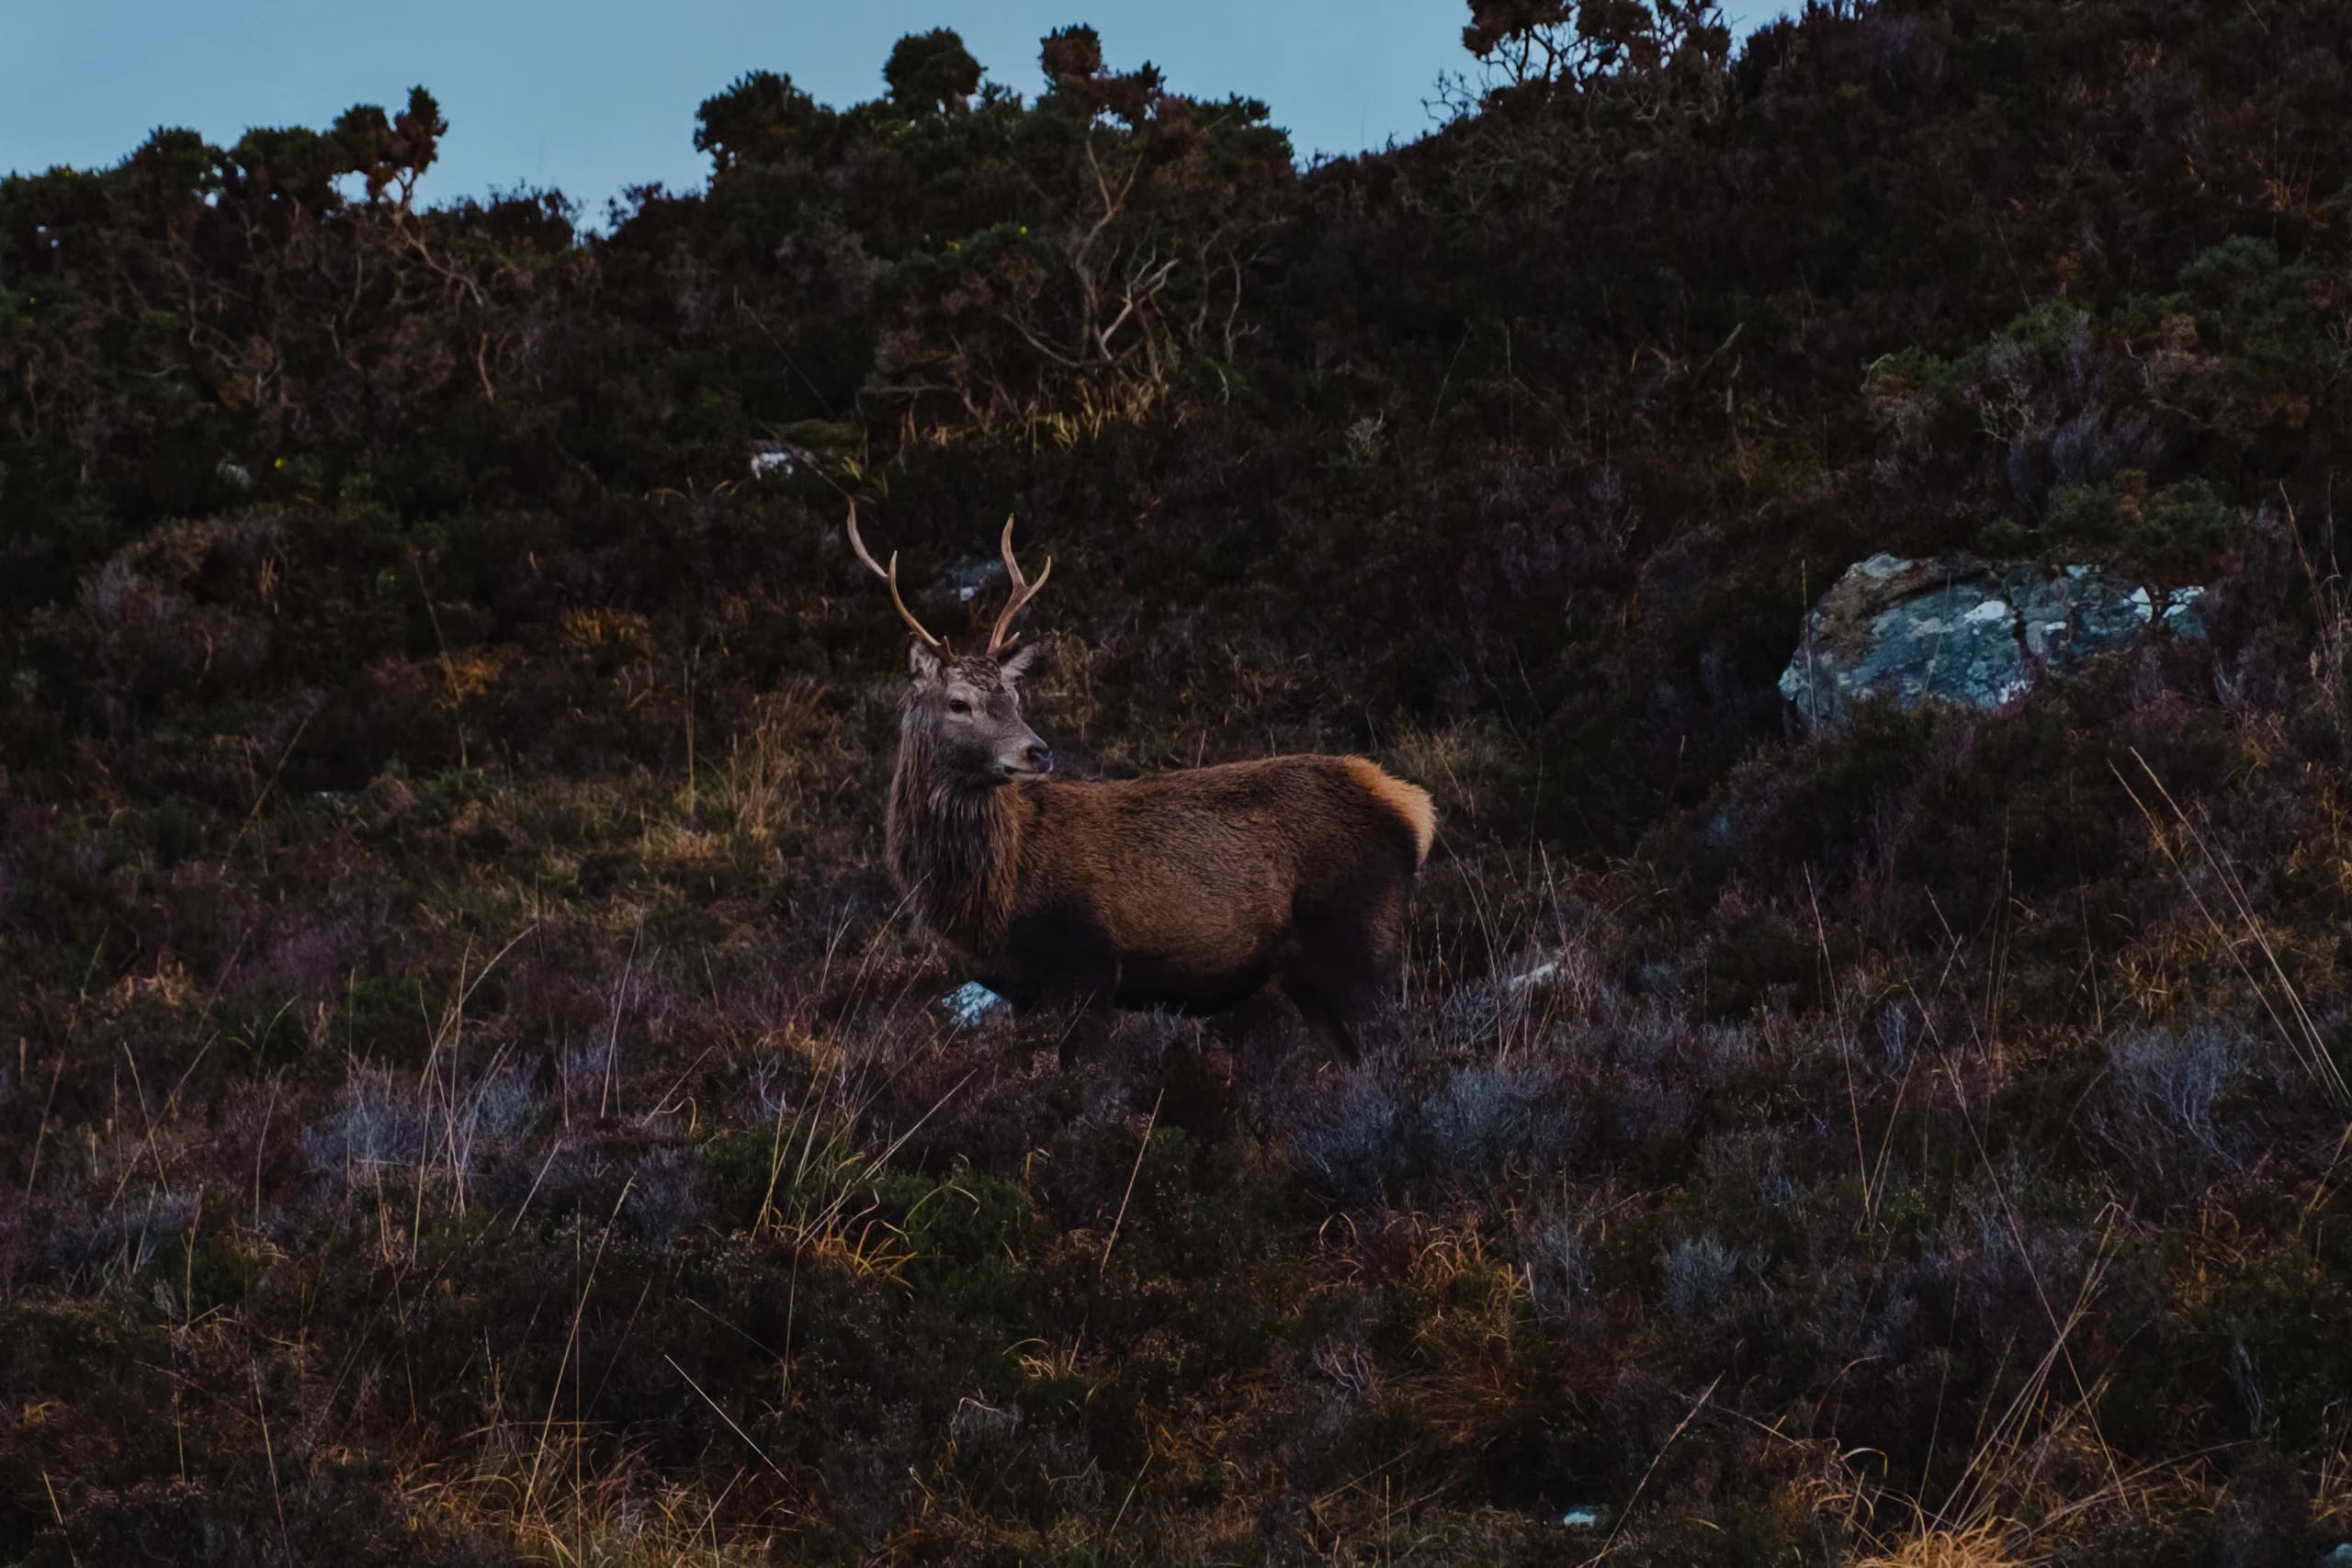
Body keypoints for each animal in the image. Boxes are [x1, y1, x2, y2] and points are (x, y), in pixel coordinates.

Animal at [846, 504, 1435, 1061]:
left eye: (1012, 697)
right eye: (958, 703)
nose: (1039, 751)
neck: (995, 896)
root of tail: (1413, 808)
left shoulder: (1088, 963)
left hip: (1362, 937)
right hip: (1312, 979)